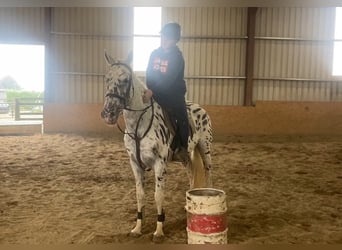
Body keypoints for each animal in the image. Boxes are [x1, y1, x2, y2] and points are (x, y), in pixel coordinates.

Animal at [100, 51, 212, 242]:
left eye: (125, 80)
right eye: (107, 78)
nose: (109, 113)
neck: (139, 124)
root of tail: (200, 108)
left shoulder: (159, 164)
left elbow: (158, 195)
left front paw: (159, 231)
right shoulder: (135, 164)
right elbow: (140, 195)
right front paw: (137, 228)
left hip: (205, 149)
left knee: (208, 173)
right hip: (185, 157)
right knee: (191, 173)